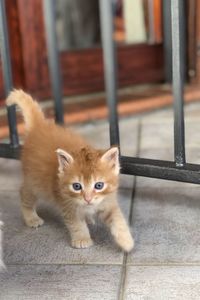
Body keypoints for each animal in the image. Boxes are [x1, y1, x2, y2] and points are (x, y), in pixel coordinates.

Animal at [6, 90, 134, 252]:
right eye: (76, 186)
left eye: (98, 185)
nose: (88, 199)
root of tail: (40, 126)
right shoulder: (68, 205)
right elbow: (77, 224)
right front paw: (82, 239)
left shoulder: (108, 201)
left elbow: (118, 219)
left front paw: (126, 241)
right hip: (34, 183)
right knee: (24, 194)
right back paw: (31, 218)